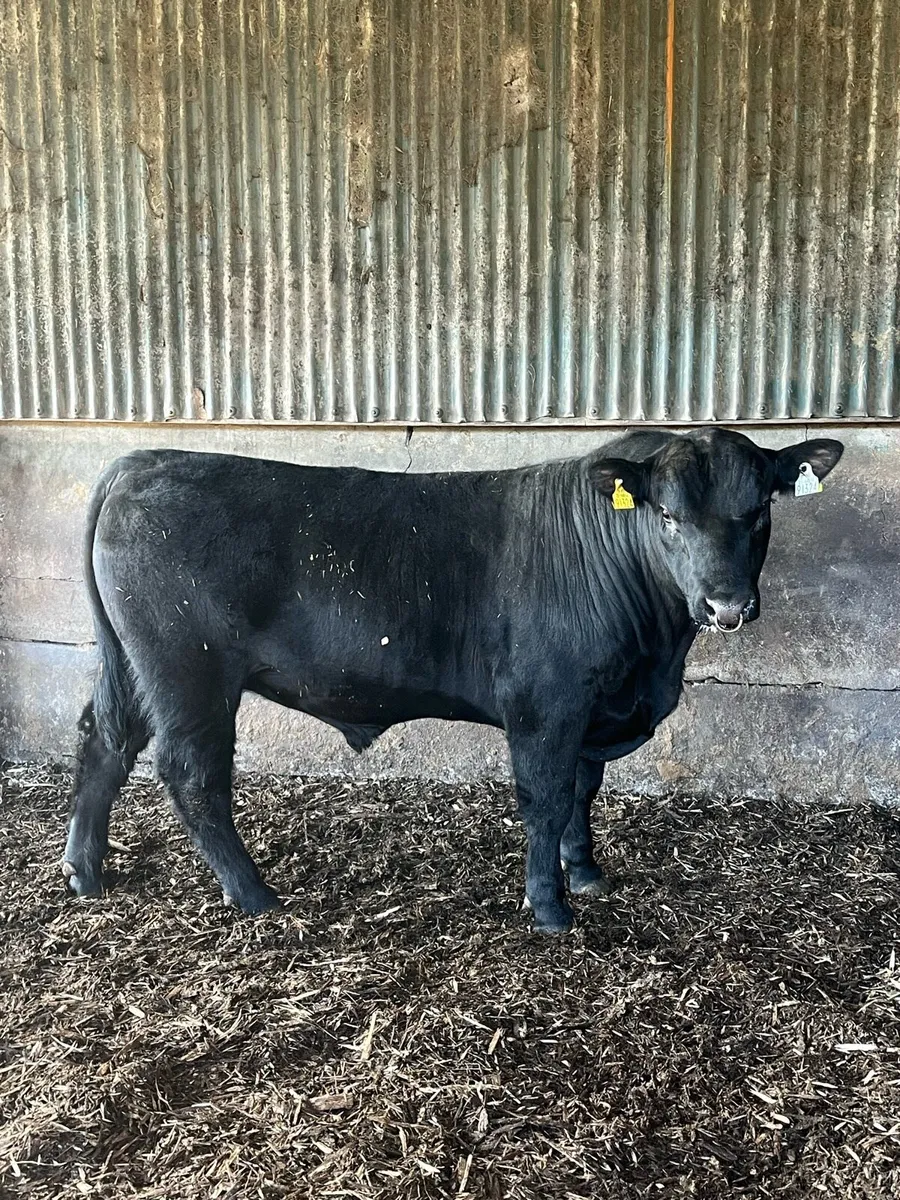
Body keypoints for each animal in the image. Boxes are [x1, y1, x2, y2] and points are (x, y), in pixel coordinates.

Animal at [63, 429, 843, 933]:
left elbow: (582, 790)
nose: (726, 605)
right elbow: (546, 797)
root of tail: (144, 459)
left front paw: (586, 871)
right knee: (191, 773)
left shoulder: (592, 707)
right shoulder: (545, 704)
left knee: (103, 744)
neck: (651, 658)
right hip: (188, 671)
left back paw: (85, 872)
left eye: (760, 510)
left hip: (131, 665)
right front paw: (551, 907)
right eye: (669, 515)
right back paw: (253, 894)